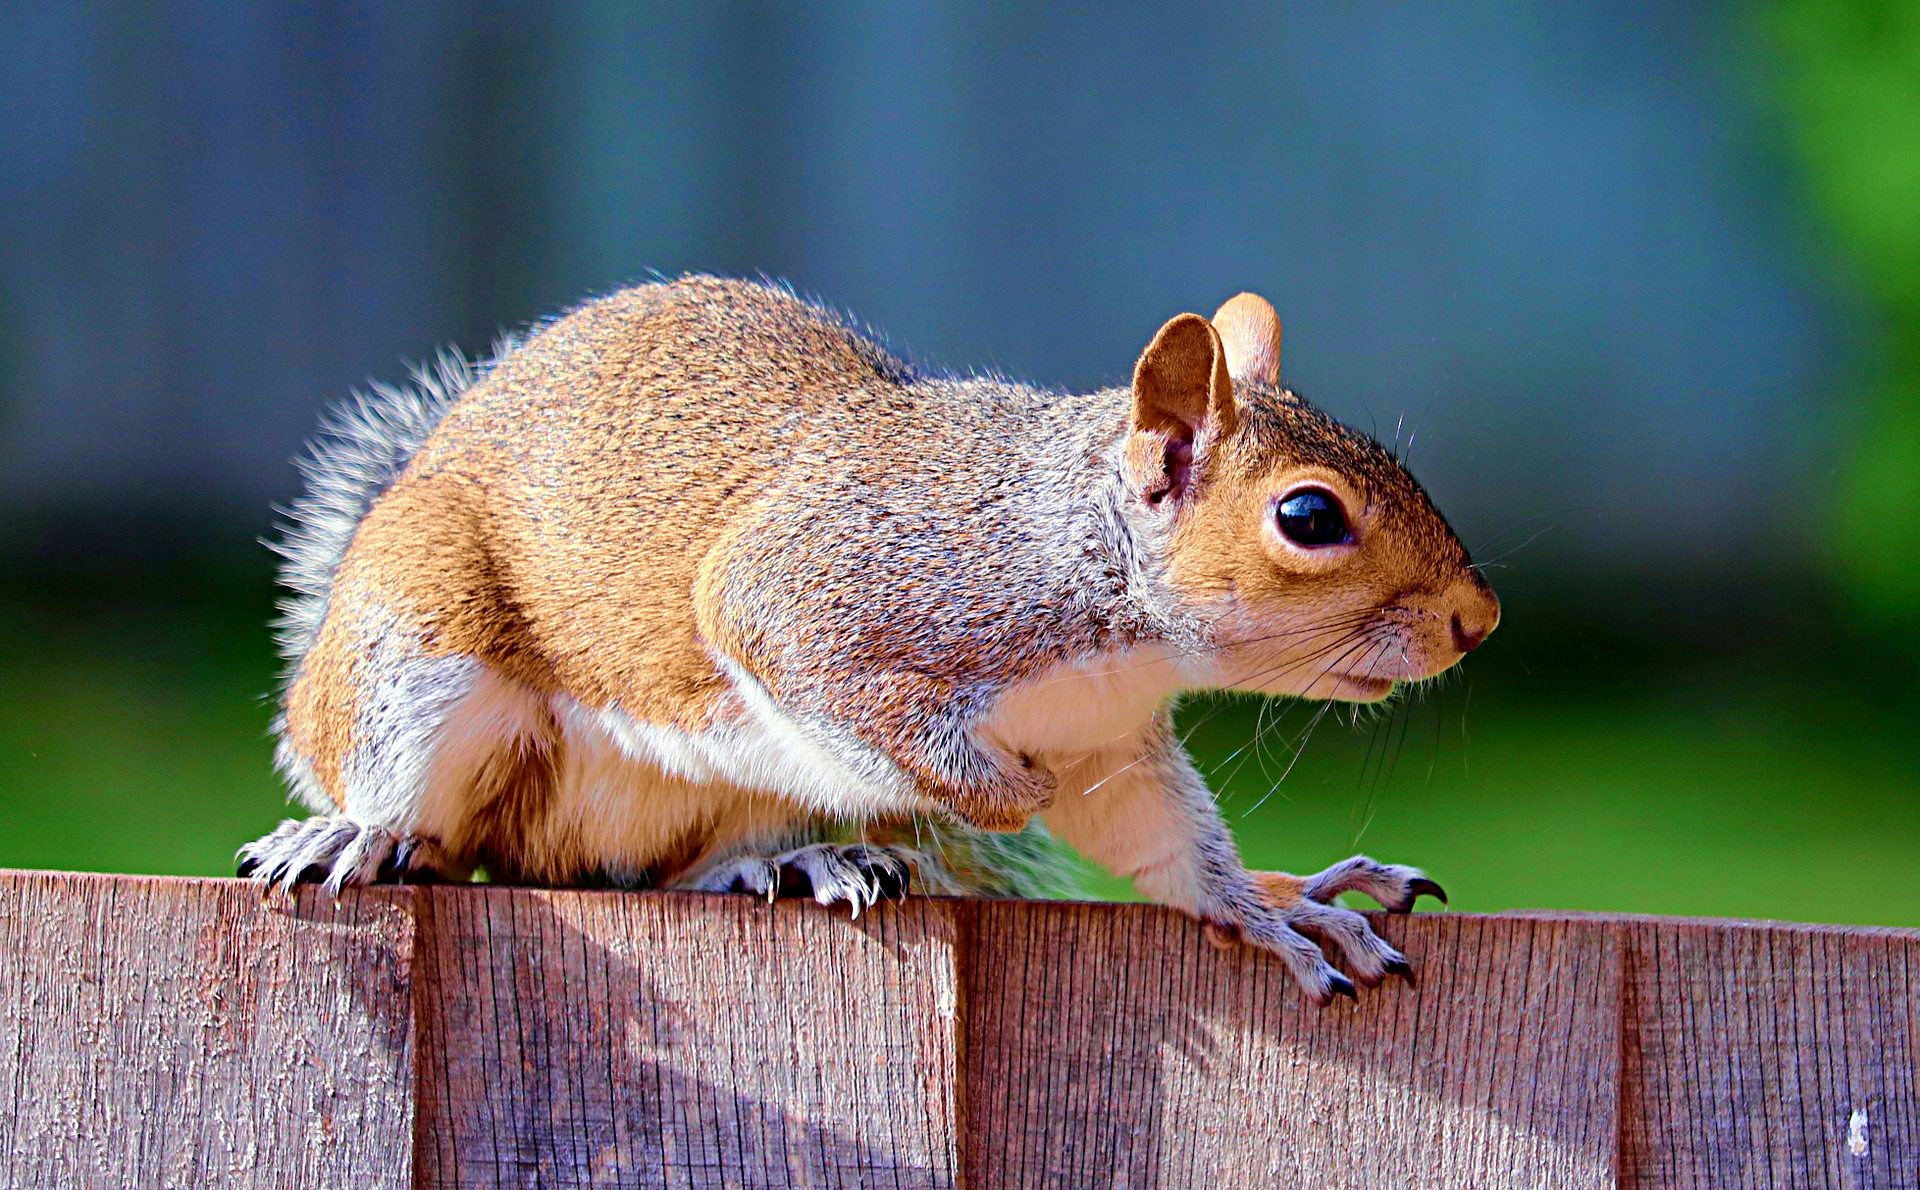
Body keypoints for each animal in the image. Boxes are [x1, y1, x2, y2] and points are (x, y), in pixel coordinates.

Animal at [239, 275, 1498, 1004]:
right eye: (1309, 516)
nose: (1475, 619)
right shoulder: (824, 595)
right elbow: (821, 672)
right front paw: (996, 792)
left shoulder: (1110, 744)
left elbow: (1166, 847)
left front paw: (1274, 905)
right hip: (416, 651)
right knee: (429, 819)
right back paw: (352, 833)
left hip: (713, 802)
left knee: (652, 871)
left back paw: (792, 859)